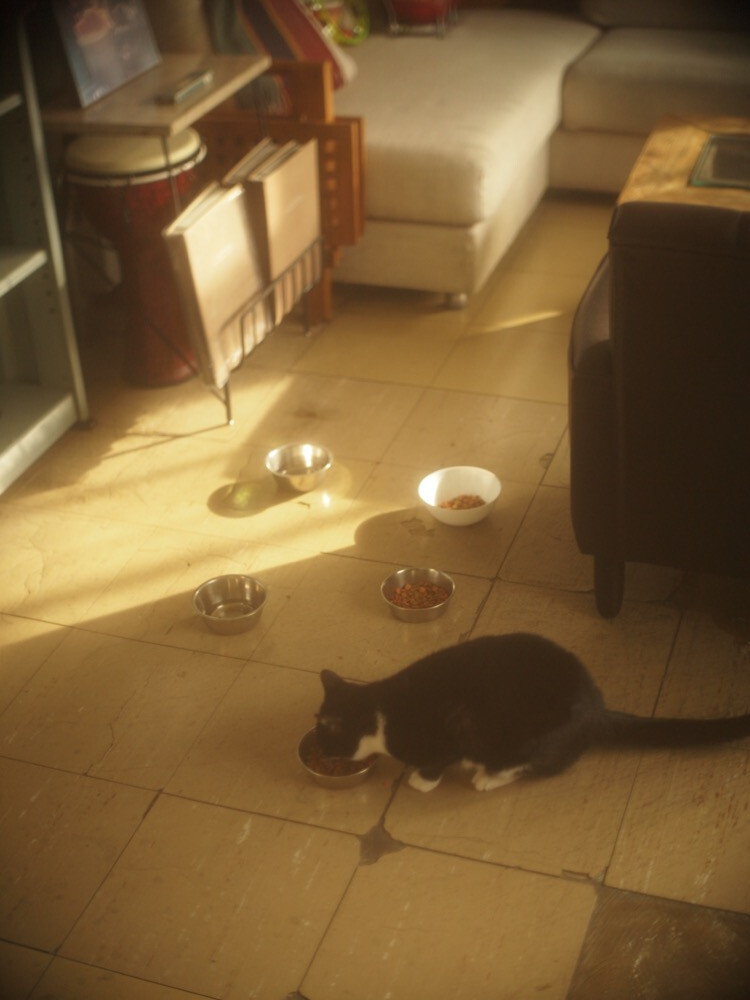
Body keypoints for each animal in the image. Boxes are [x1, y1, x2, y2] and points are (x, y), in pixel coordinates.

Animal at [314, 633, 750, 792]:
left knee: (534, 764)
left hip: (529, 737)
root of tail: (598, 707)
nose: (316, 750)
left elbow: (436, 762)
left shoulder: (446, 735)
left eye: (323, 737)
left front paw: (420, 781)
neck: (378, 712)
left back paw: (487, 777)